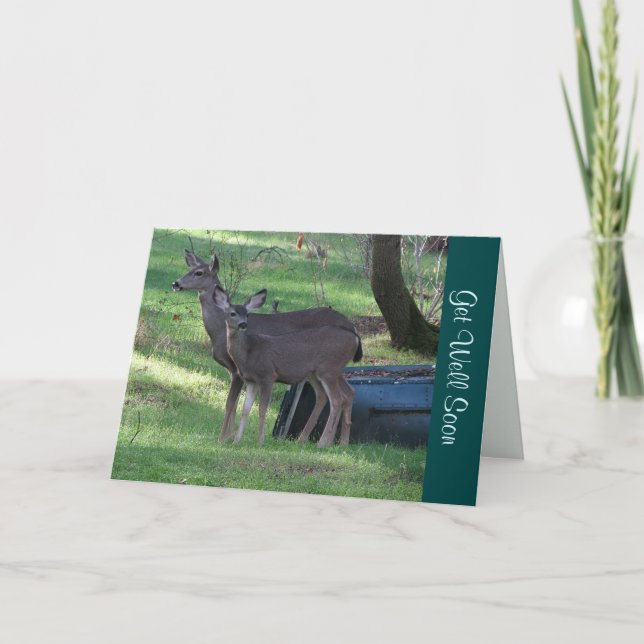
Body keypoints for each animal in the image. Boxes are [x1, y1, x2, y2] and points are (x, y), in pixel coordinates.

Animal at [213, 285, 359, 447]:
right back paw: (341, 442)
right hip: (323, 372)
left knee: (337, 399)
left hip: (328, 369)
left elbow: (262, 408)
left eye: (247, 314)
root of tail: (356, 338)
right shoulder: (251, 380)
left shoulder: (268, 375)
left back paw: (322, 443)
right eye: (232, 313)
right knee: (345, 393)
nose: (243, 324)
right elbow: (245, 409)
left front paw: (260, 441)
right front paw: (236, 440)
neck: (248, 353)